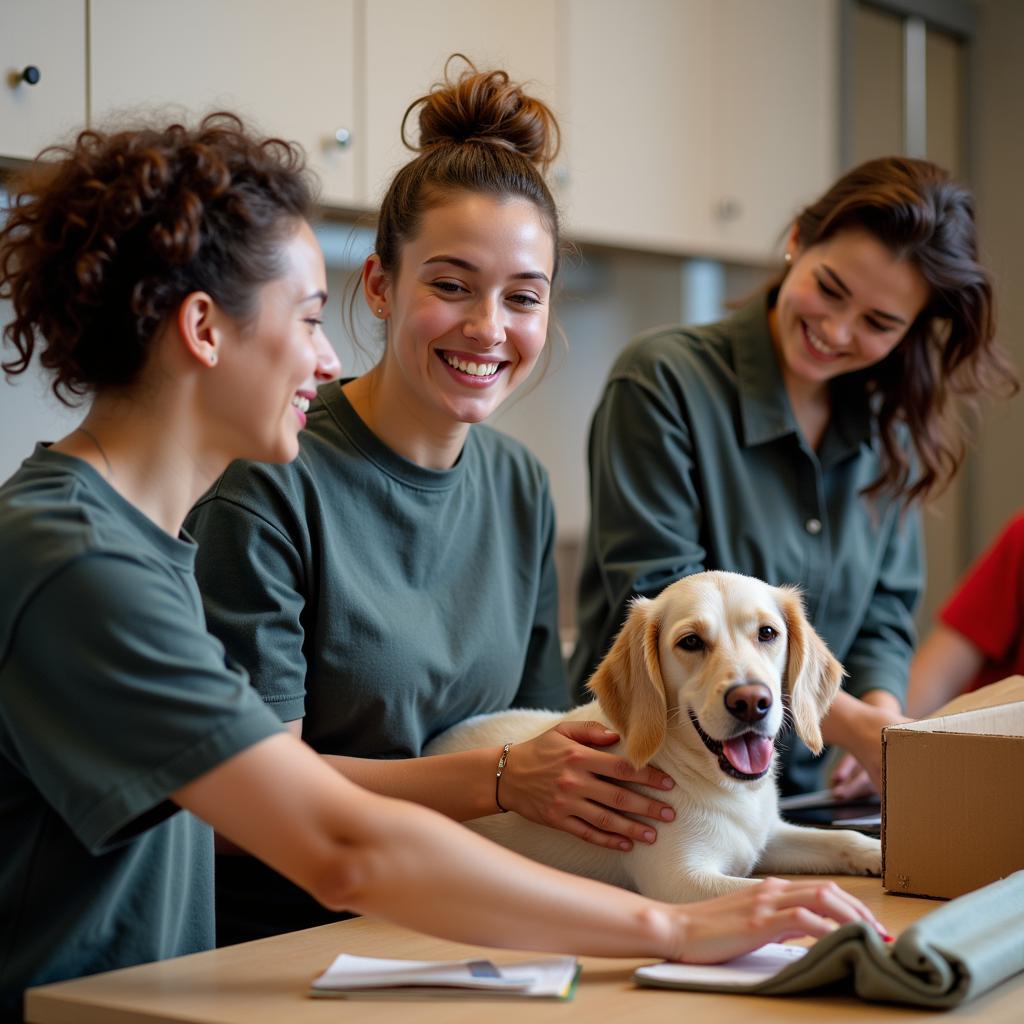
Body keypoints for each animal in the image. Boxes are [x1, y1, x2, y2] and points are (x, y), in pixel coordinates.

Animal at [423, 573, 880, 901]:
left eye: (767, 633)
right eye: (690, 641)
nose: (752, 701)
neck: (725, 789)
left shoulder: (768, 838)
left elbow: (842, 837)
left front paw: (879, 853)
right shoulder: (681, 880)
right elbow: (767, 888)